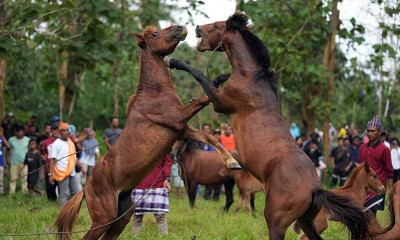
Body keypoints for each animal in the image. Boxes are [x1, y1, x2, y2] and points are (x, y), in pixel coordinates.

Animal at [54, 24, 239, 240]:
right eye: (154, 34)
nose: (181, 28)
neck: (154, 93)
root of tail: (85, 189)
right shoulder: (178, 118)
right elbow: (204, 100)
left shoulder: (181, 130)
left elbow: (209, 137)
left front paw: (232, 161)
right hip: (103, 218)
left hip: (121, 216)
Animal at [165, 13, 372, 240]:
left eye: (218, 26)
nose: (197, 28)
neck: (251, 76)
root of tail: (315, 190)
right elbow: (217, 77)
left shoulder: (221, 102)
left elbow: (200, 74)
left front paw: (174, 61)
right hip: (306, 221)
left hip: (276, 221)